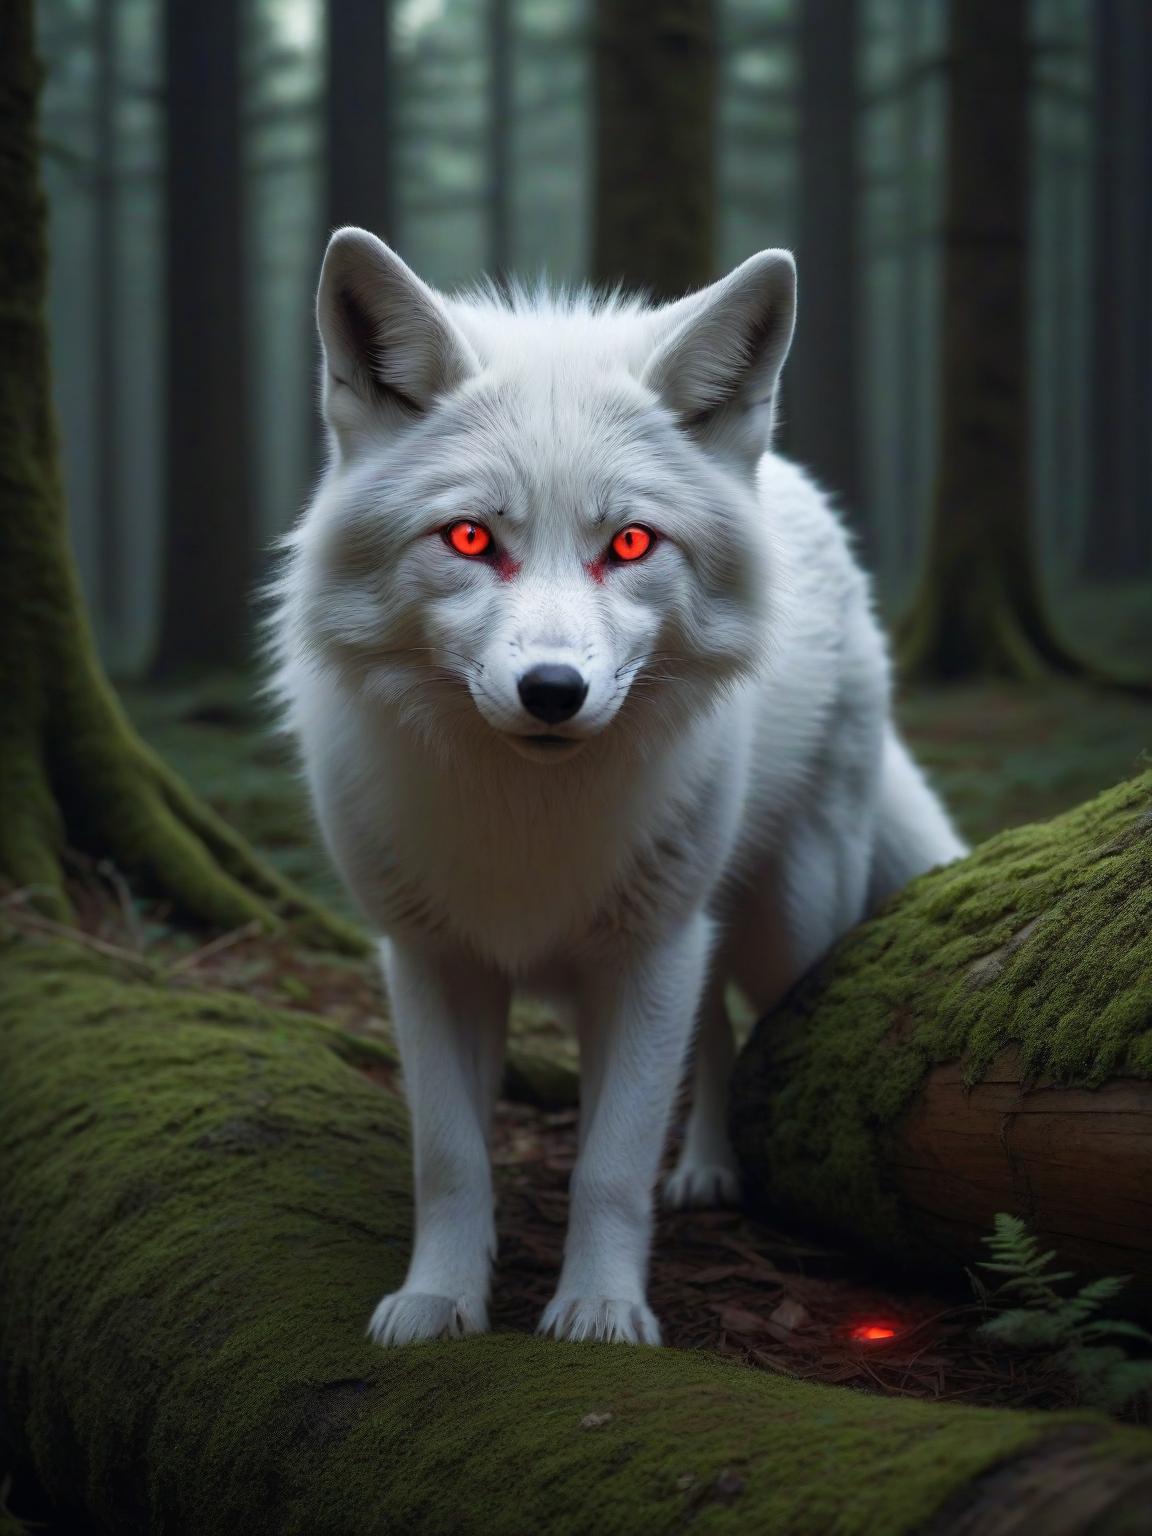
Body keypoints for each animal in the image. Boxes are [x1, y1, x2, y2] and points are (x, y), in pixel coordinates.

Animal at [270, 227, 966, 1348]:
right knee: (718, 1033)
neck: (526, 821)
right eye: (470, 538)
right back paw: (707, 1170)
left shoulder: (647, 953)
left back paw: (729, 1178)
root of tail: (791, 478)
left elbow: (610, 1164)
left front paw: (598, 1308)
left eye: (631, 542)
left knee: (753, 1041)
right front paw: (440, 1299)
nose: (553, 691)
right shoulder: (429, 958)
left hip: (783, 921)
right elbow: (450, 1158)